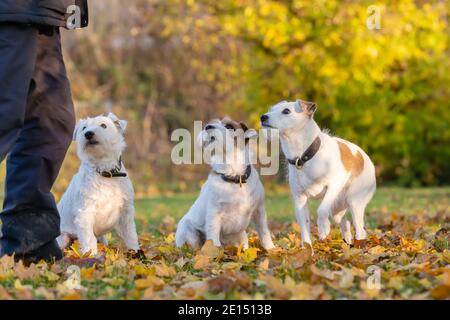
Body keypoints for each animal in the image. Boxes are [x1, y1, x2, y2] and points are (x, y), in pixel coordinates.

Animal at [57, 112, 140, 255]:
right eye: (84, 128)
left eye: (103, 125)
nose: (88, 134)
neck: (105, 171)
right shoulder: (85, 214)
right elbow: (89, 240)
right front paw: (92, 256)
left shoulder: (126, 212)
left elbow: (130, 235)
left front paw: (135, 253)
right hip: (63, 237)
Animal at [175, 117, 274, 250]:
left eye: (229, 126)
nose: (208, 126)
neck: (234, 176)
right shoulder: (214, 216)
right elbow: (213, 239)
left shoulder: (259, 211)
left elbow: (264, 233)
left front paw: (272, 249)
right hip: (188, 230)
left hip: (241, 235)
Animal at [260, 101, 376, 246]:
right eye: (271, 110)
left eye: (286, 111)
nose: (263, 117)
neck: (305, 157)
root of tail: (365, 157)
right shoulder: (299, 199)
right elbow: (304, 226)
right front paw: (306, 248)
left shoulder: (334, 185)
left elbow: (321, 210)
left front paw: (323, 228)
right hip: (337, 210)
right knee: (345, 223)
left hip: (355, 202)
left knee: (360, 229)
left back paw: (360, 243)